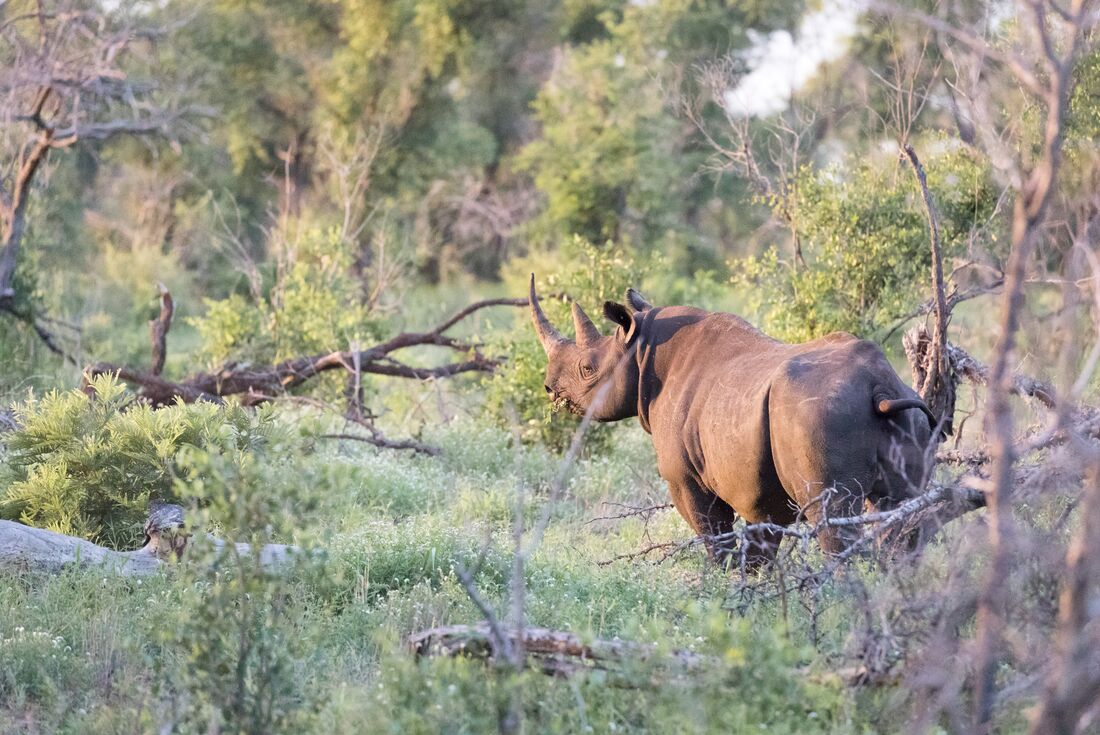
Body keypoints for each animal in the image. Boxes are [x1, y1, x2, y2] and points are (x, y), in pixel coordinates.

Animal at [529, 275, 939, 567]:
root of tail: (878, 386)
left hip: (821, 416)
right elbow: (761, 547)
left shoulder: (685, 479)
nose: (549, 388)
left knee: (833, 520)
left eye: (587, 369)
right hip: (909, 417)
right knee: (904, 513)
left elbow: (715, 539)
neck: (642, 352)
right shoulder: (762, 489)